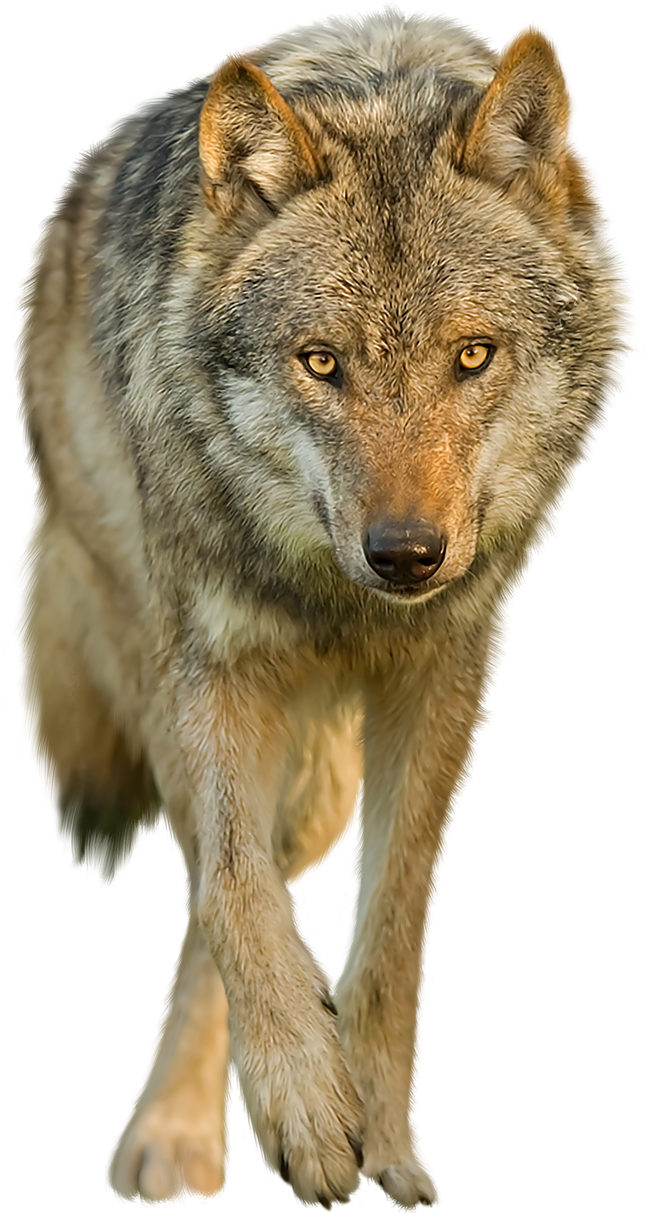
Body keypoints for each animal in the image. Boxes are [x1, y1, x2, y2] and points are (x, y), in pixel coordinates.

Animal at [8, 3, 639, 1215]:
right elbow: (238, 894)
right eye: (321, 363)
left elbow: (387, 941)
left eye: (472, 355)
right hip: (162, 671)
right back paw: (174, 1131)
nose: (406, 554)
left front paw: (387, 1147)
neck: (342, 600)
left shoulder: (448, 684)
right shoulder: (207, 668)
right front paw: (303, 1112)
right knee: (215, 882)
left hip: (319, 775)